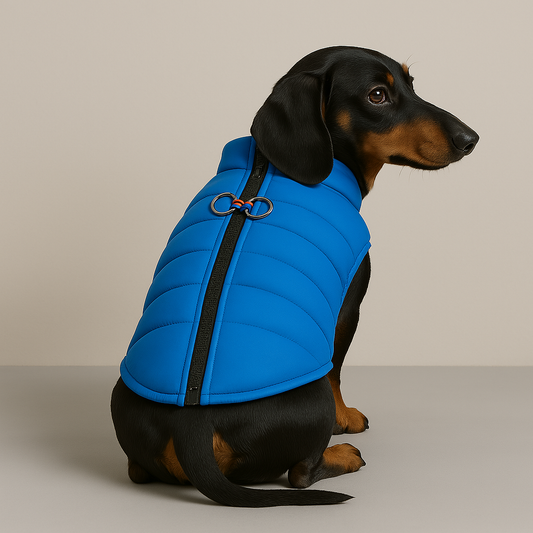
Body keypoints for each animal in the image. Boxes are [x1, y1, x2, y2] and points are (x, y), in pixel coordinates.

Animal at [111, 46, 478, 507]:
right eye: (377, 95)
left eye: (412, 84)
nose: (471, 139)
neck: (266, 165)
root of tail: (192, 426)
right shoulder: (346, 308)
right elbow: (336, 368)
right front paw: (345, 419)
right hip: (311, 397)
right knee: (302, 472)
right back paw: (342, 454)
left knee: (136, 471)